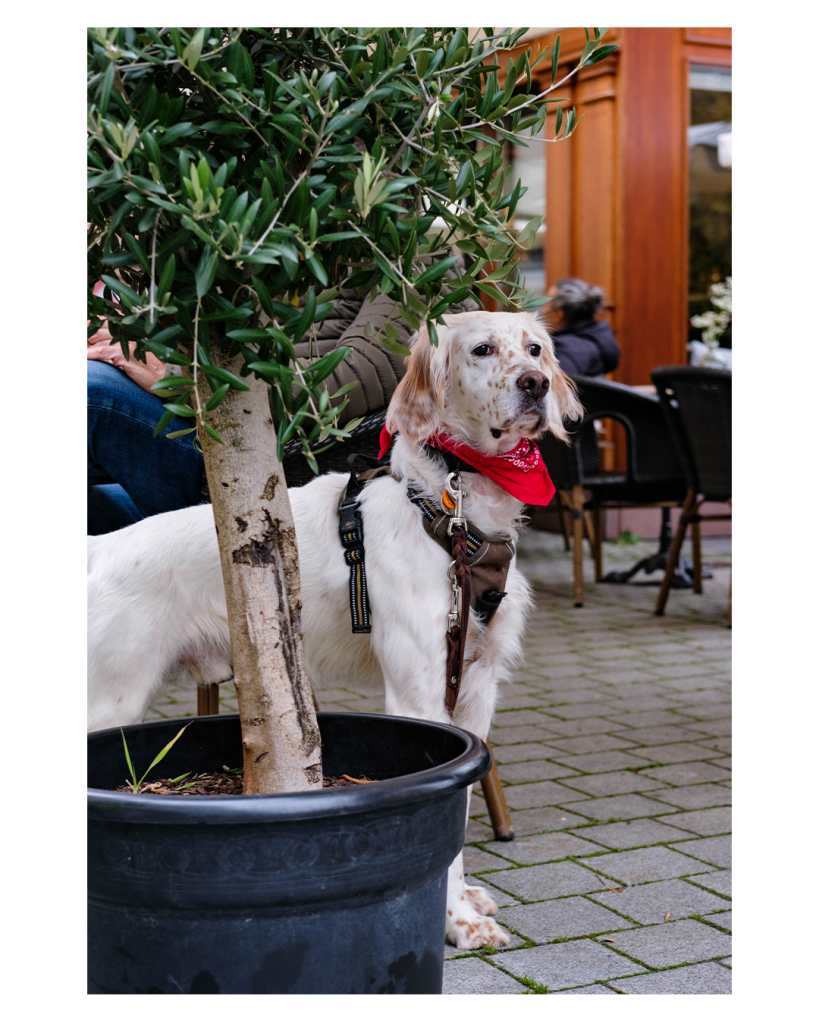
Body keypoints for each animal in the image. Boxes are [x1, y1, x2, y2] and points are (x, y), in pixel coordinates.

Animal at [86, 307, 577, 946]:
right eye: (483, 349)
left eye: (535, 349)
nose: (535, 385)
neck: (453, 511)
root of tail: (102, 546)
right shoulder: (420, 691)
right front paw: (455, 923)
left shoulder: (475, 688)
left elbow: (465, 805)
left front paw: (464, 904)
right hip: (110, 698)